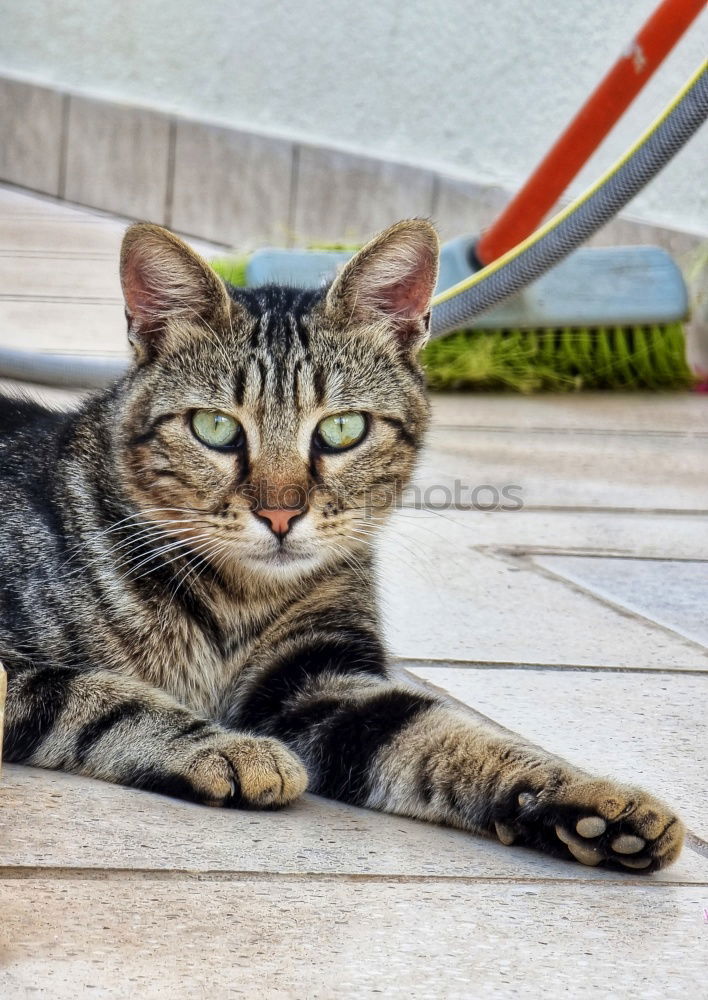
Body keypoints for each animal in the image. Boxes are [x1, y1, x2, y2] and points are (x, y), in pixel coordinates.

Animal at [0, 217, 684, 868]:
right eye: (215, 427)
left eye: (342, 429)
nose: (280, 514)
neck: (237, 602)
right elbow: (93, 694)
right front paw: (222, 747)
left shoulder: (317, 680)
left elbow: (447, 732)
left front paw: (589, 799)